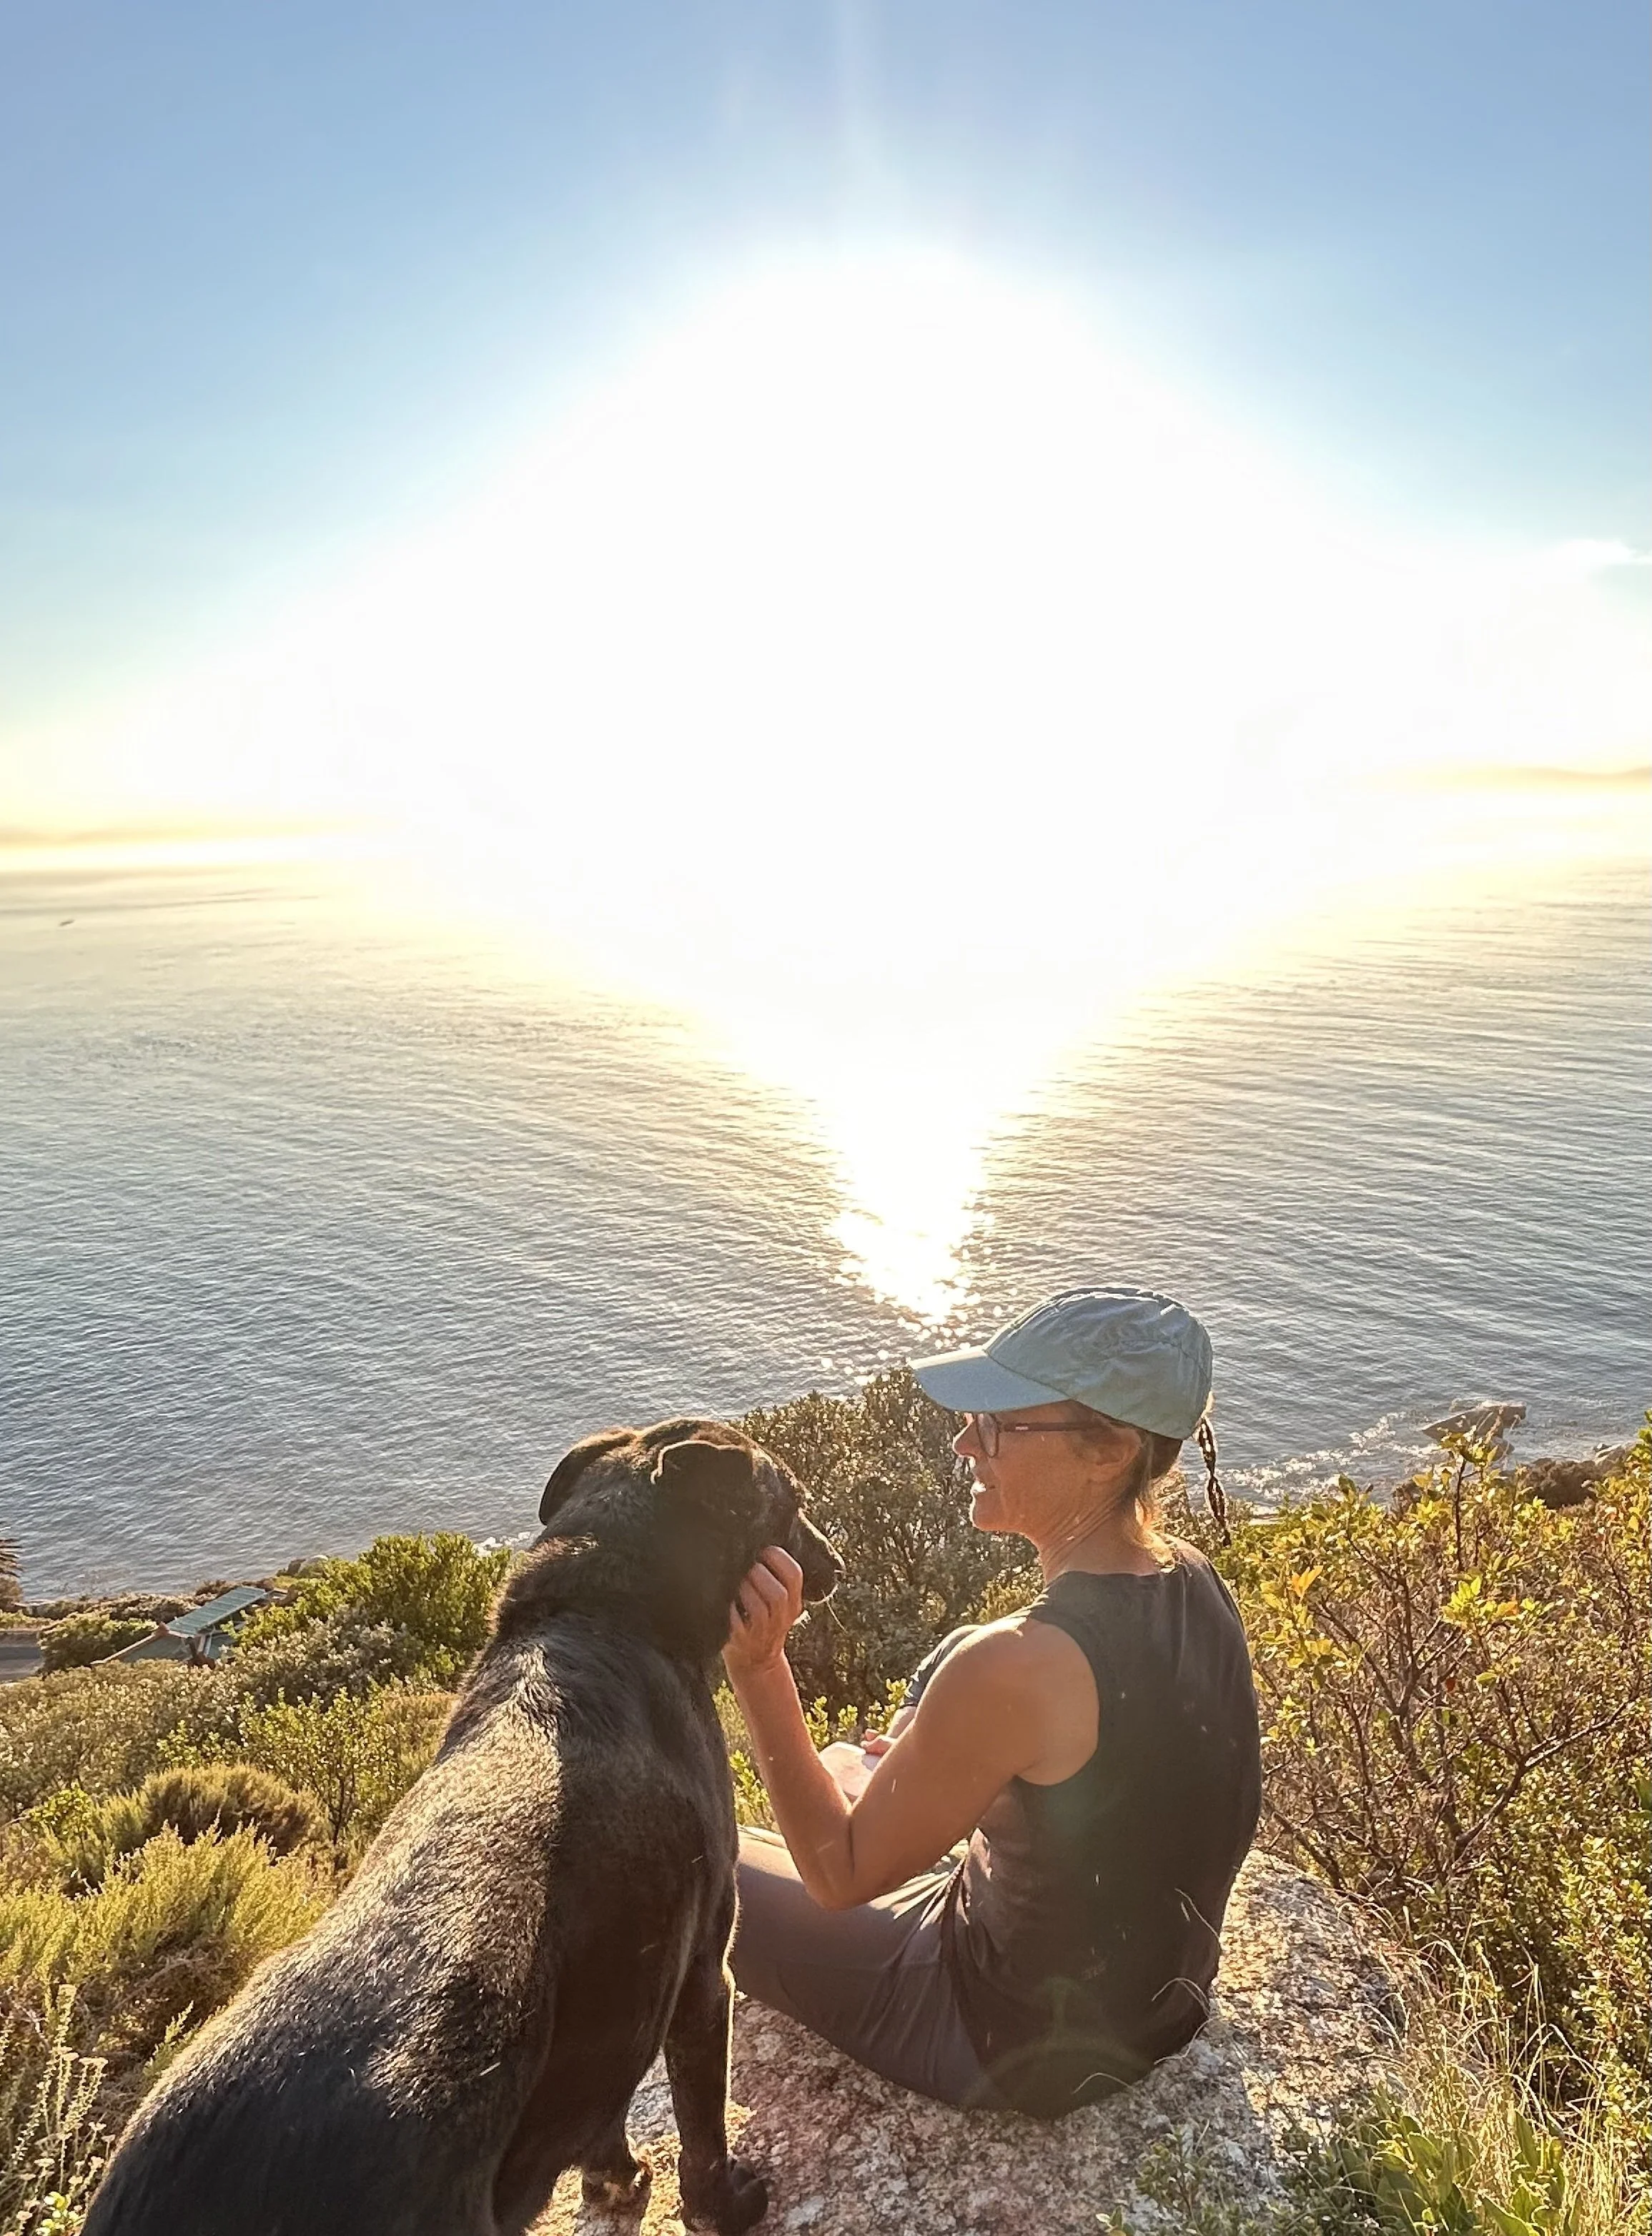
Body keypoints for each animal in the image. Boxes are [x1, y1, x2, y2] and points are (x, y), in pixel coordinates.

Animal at [82, 1419, 842, 2236]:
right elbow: (701, 2125)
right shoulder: (702, 1974)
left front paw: (615, 2179)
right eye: (794, 1500)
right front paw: (722, 2203)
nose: (836, 1562)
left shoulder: (610, 2026)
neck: (600, 1613)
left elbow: (601, 2121)